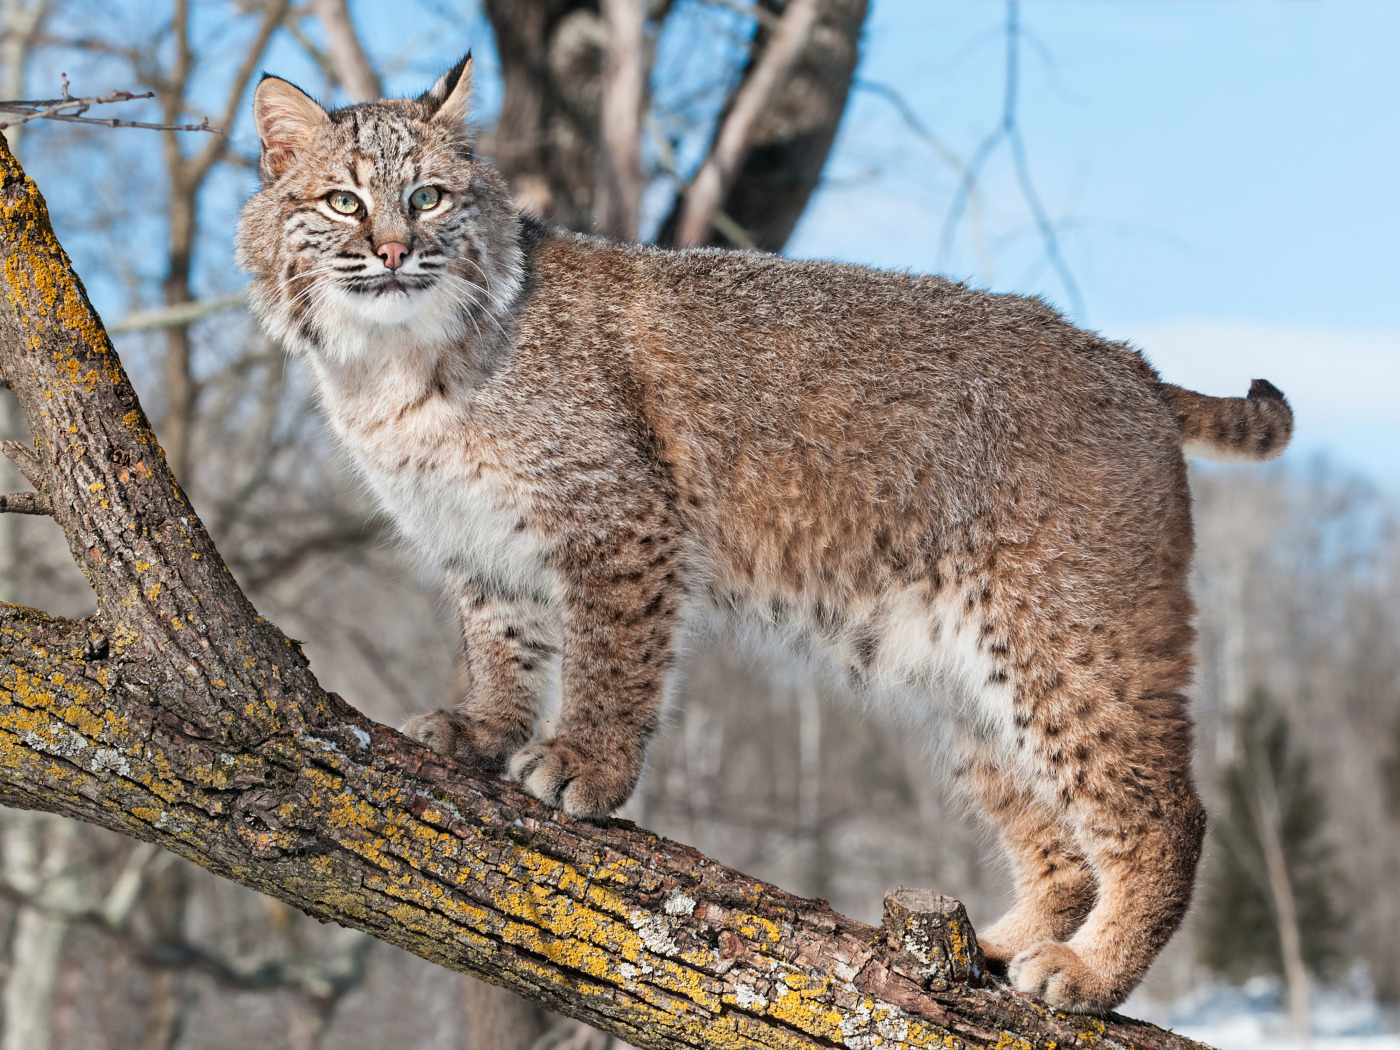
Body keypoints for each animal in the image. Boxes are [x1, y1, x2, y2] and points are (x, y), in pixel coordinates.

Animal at [235, 53, 1293, 1013]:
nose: (390, 251)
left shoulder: (622, 521)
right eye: (342, 202)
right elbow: (503, 645)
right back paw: (1001, 947)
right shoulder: (480, 544)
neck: (391, 361)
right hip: (975, 667)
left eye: (428, 197)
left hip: (1067, 630)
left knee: (1169, 812)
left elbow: (611, 660)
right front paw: (483, 728)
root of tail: (1128, 359)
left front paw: (585, 766)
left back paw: (1091, 973)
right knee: (1061, 841)